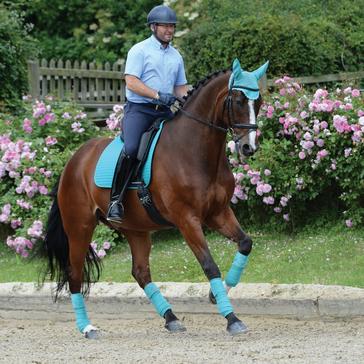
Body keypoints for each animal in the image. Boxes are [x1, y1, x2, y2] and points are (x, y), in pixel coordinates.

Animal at [38, 57, 268, 338]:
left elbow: (245, 243)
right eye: (237, 100)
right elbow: (209, 265)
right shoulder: (187, 219)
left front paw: (216, 295)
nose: (249, 147)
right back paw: (87, 327)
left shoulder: (218, 213)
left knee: (140, 272)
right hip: (79, 227)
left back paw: (171, 318)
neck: (195, 150)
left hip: (135, 229)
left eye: (258, 102)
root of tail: (73, 160)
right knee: (74, 273)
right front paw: (231, 318)